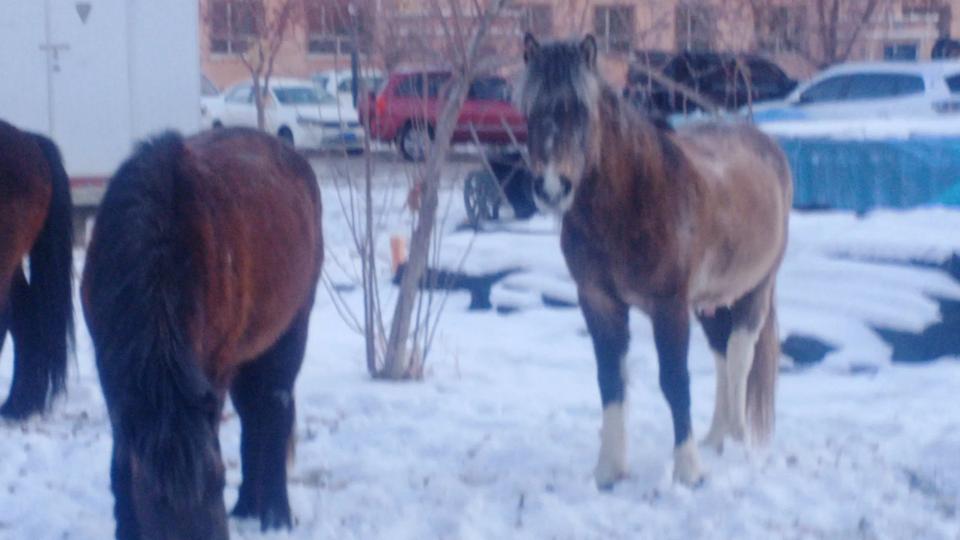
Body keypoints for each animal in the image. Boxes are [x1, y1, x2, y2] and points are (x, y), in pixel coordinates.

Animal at [83, 129, 322, 536]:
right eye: (155, 500)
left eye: (218, 483)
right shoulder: (111, 372)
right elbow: (120, 464)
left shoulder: (214, 365)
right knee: (253, 414)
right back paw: (247, 506)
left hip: (289, 332)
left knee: (273, 409)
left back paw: (274, 514)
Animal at [520, 35, 792, 488]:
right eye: (528, 109)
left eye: (581, 110)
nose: (551, 188)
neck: (631, 200)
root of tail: (766, 145)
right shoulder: (598, 301)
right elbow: (610, 380)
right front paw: (609, 470)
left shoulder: (668, 306)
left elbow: (675, 381)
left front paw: (688, 471)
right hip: (709, 301)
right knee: (721, 354)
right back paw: (716, 437)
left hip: (757, 287)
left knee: (740, 354)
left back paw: (735, 441)